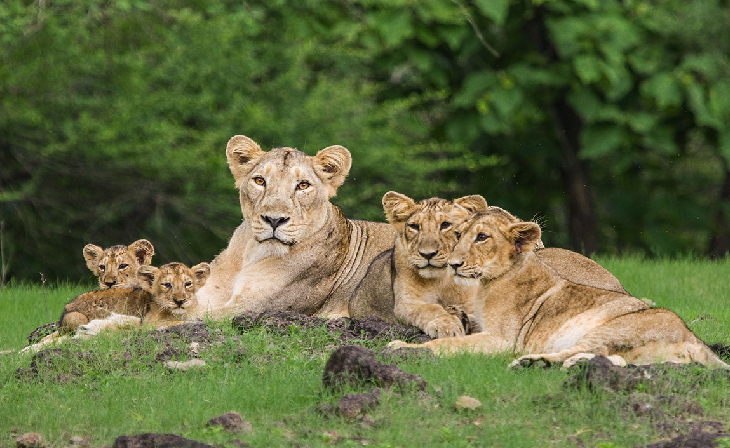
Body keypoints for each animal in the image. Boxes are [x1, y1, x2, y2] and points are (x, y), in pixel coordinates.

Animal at [193, 135, 397, 319]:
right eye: (260, 181)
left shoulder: (253, 306)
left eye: (303, 185)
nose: (274, 220)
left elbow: (193, 318)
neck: (250, 253)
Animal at [389, 211, 729, 369]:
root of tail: (693, 338)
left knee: (589, 351)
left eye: (482, 237)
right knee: (611, 360)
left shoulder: (502, 340)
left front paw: (404, 347)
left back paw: (531, 362)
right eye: (458, 234)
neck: (488, 283)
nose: (454, 264)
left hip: (610, 328)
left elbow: (448, 345)